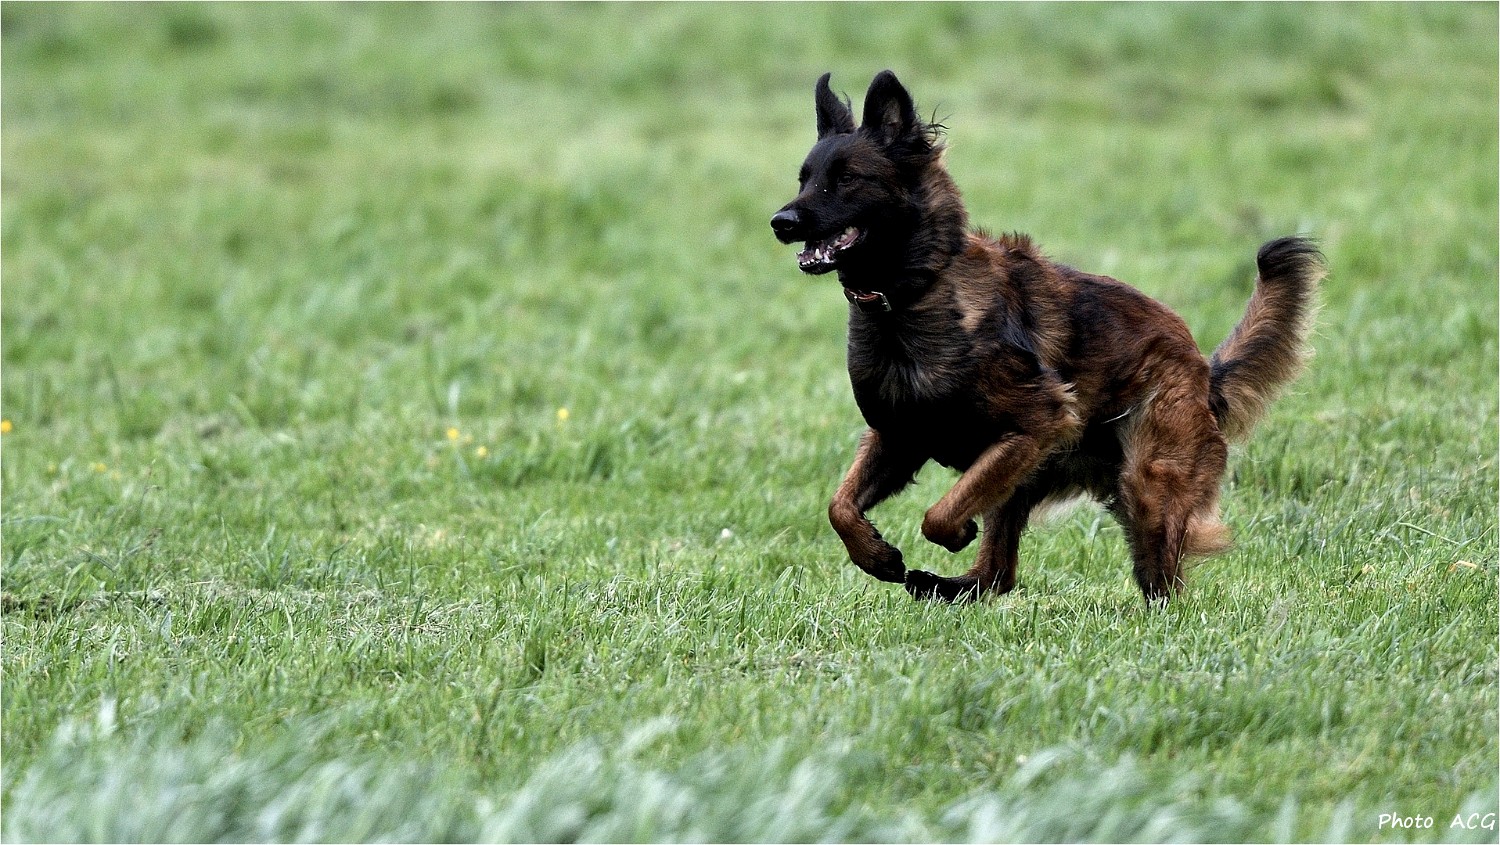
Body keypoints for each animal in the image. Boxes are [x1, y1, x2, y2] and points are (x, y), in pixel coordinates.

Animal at [770, 70, 1323, 604]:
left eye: (846, 180)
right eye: (804, 179)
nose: (781, 222)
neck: (909, 298)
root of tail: (1203, 371)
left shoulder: (1036, 424)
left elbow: (941, 514)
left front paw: (953, 533)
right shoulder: (899, 435)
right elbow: (839, 506)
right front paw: (877, 556)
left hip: (1144, 480)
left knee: (1161, 582)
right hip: (1035, 476)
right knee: (997, 574)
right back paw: (940, 586)